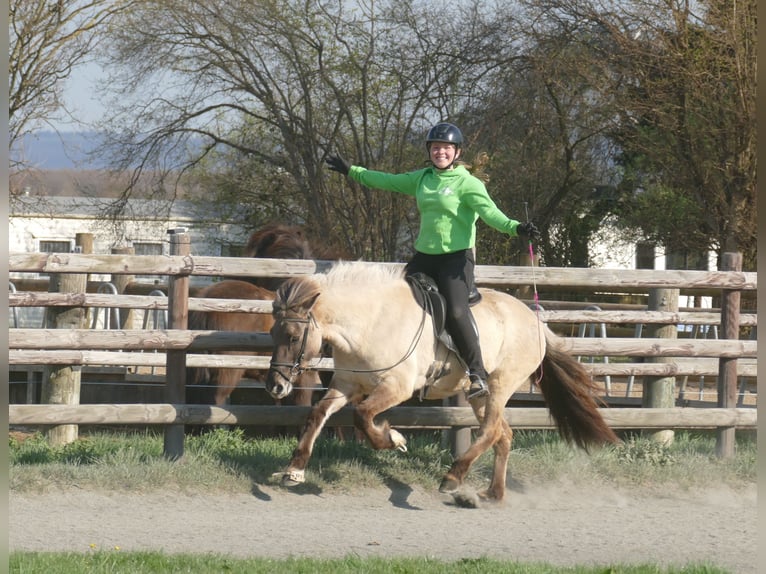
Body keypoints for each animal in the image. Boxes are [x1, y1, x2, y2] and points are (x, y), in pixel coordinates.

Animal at [265, 261, 619, 502]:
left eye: (293, 336)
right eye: (273, 333)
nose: (275, 386)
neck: (371, 322)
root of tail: (537, 324)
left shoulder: (396, 387)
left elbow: (362, 417)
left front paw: (394, 439)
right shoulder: (348, 385)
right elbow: (317, 415)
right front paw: (294, 470)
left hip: (500, 386)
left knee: (490, 431)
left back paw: (453, 476)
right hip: (480, 397)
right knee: (503, 435)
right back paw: (492, 493)